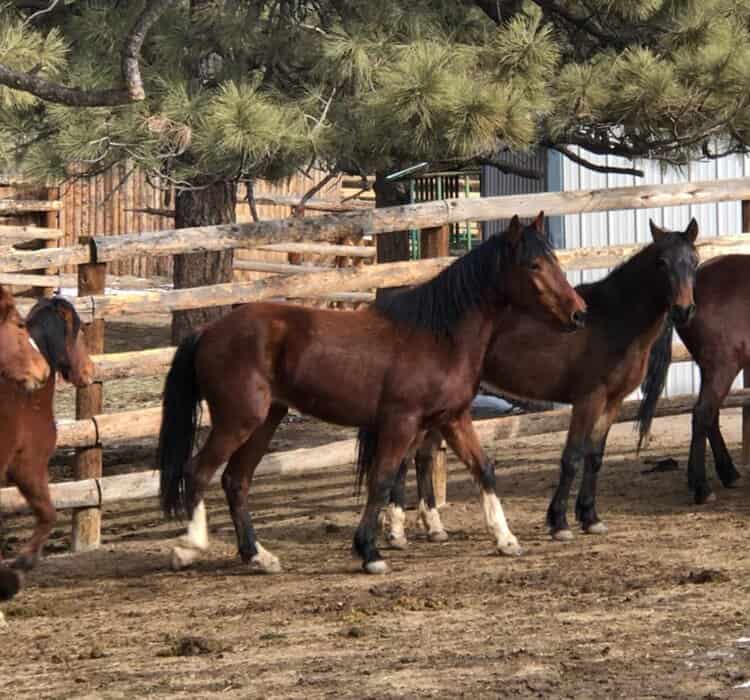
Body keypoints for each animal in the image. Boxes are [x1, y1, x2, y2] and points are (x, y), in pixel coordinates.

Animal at [157, 213, 587, 576]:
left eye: (552, 260)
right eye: (534, 265)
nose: (579, 313)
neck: (440, 336)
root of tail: (208, 332)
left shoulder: (452, 418)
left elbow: (483, 468)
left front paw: (506, 539)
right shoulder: (401, 422)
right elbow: (381, 480)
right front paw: (370, 551)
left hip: (266, 420)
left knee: (236, 481)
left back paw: (258, 556)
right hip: (239, 420)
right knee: (198, 472)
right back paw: (189, 548)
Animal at [382, 219, 699, 547]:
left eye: (694, 261)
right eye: (661, 263)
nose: (683, 310)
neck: (613, 320)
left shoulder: (613, 401)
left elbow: (594, 456)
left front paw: (590, 517)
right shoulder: (588, 400)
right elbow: (572, 457)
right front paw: (559, 522)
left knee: (423, 456)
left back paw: (434, 526)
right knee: (407, 458)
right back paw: (397, 531)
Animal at [648, 254, 750, 504]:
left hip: (710, 369)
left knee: (710, 415)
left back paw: (726, 474)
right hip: (722, 368)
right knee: (703, 413)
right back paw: (703, 488)